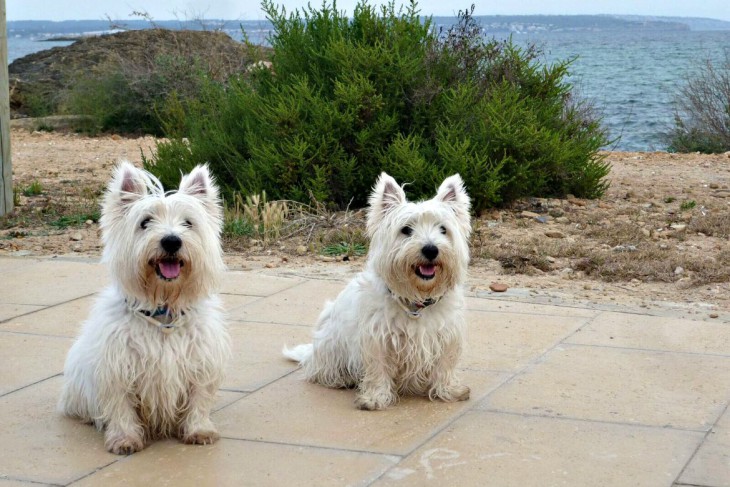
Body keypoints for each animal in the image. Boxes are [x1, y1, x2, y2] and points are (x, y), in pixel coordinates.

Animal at [60, 162, 230, 456]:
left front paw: (199, 430)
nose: (171, 241)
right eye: (145, 222)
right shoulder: (117, 368)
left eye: (188, 222)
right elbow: (120, 406)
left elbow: (199, 397)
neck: (164, 310)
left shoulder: (200, 362)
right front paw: (124, 438)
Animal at [284, 173, 472, 410]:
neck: (415, 299)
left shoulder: (446, 336)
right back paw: (341, 378)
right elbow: (378, 367)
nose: (430, 249)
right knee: (321, 369)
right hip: (330, 343)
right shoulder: (377, 338)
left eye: (443, 229)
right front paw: (375, 398)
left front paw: (449, 390)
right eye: (406, 229)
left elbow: (445, 364)